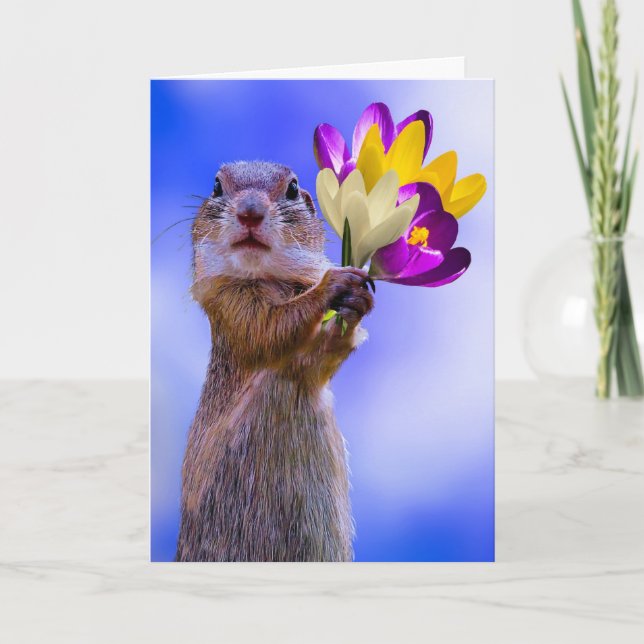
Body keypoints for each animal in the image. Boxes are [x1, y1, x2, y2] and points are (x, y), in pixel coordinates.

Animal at [175, 161, 375, 562]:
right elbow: (269, 327)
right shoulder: (230, 304)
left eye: (293, 188)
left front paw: (355, 304)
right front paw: (332, 285)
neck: (267, 278)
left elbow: (321, 357)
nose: (250, 212)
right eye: (216, 186)